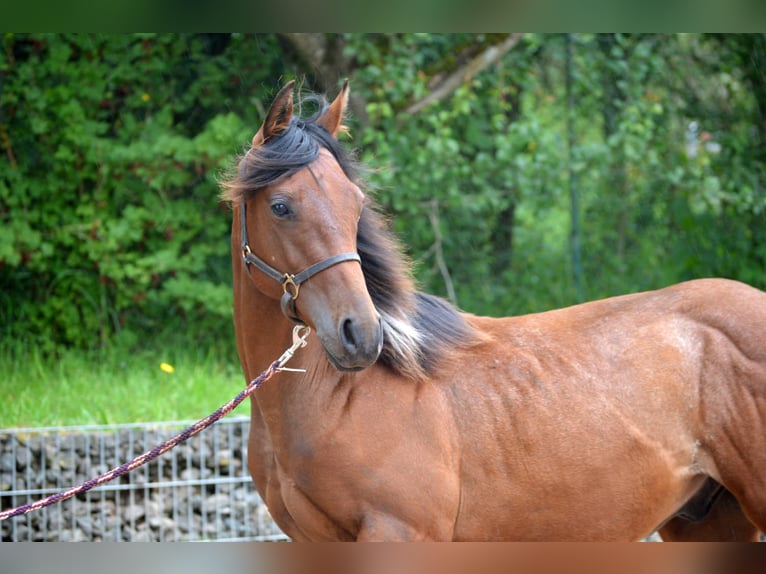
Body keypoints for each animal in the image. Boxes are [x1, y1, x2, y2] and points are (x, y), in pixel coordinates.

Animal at [222, 81, 766, 544]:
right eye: (281, 207)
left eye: (356, 204)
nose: (360, 334)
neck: (336, 400)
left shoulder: (400, 534)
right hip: (707, 521)